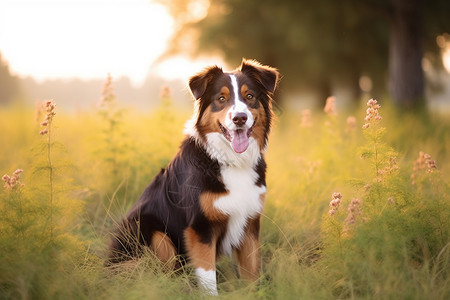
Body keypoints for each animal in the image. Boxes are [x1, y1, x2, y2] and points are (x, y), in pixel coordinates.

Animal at [107, 59, 280, 296]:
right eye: (221, 99)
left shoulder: (250, 222)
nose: (240, 118)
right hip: (153, 233)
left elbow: (251, 273)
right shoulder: (200, 227)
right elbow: (208, 278)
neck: (229, 160)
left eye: (250, 96)